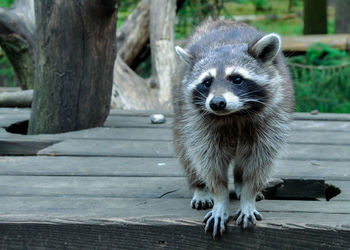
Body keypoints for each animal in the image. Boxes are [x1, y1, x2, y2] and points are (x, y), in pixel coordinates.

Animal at [171, 20, 294, 237]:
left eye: (237, 79)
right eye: (207, 82)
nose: (217, 103)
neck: (234, 115)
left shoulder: (273, 118)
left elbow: (259, 161)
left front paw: (248, 195)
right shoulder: (198, 122)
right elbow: (208, 161)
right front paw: (219, 198)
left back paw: (239, 183)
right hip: (181, 113)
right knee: (186, 151)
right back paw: (199, 186)